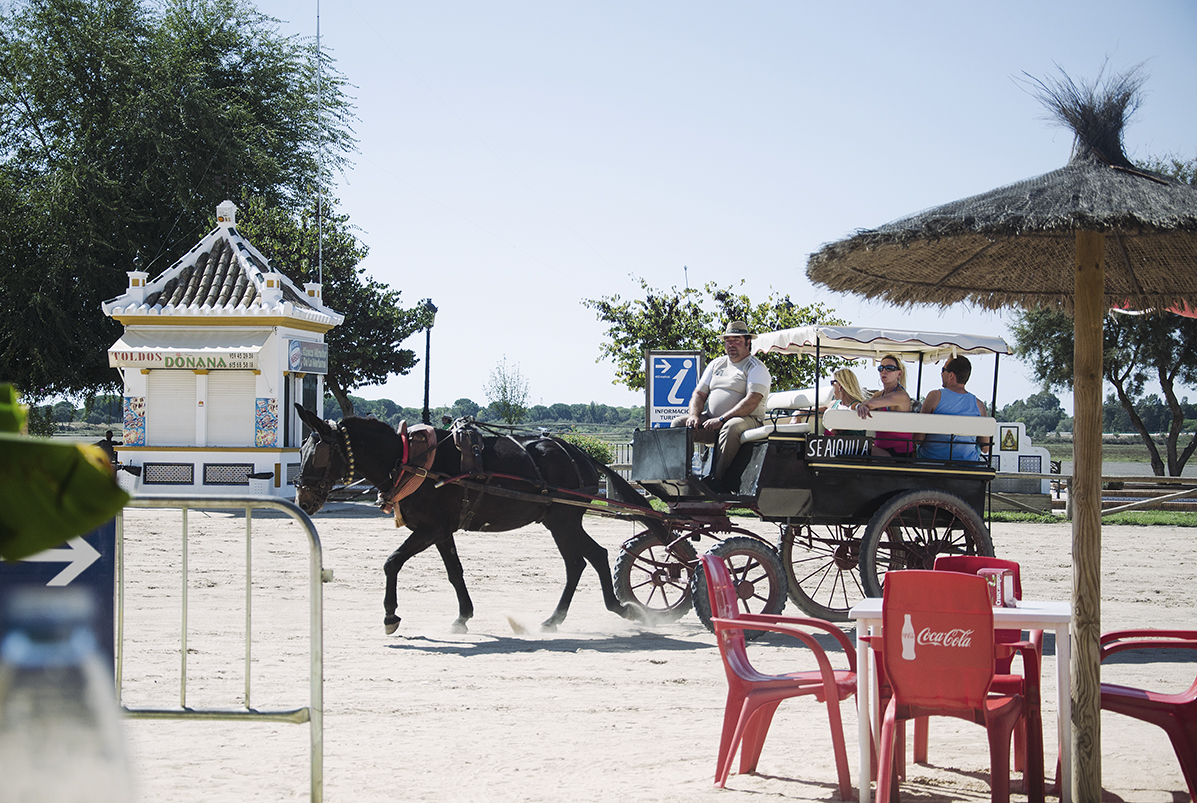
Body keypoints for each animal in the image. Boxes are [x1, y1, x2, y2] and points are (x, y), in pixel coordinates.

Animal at [293, 405, 660, 634]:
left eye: (318, 454)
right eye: (301, 450)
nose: (303, 500)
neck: (412, 461)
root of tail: (578, 452)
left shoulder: (431, 528)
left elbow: (392, 562)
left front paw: (390, 614)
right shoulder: (441, 531)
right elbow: (454, 572)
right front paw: (463, 616)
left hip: (564, 520)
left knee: (585, 559)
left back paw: (613, 608)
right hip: (559, 521)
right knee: (586, 559)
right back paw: (570, 616)